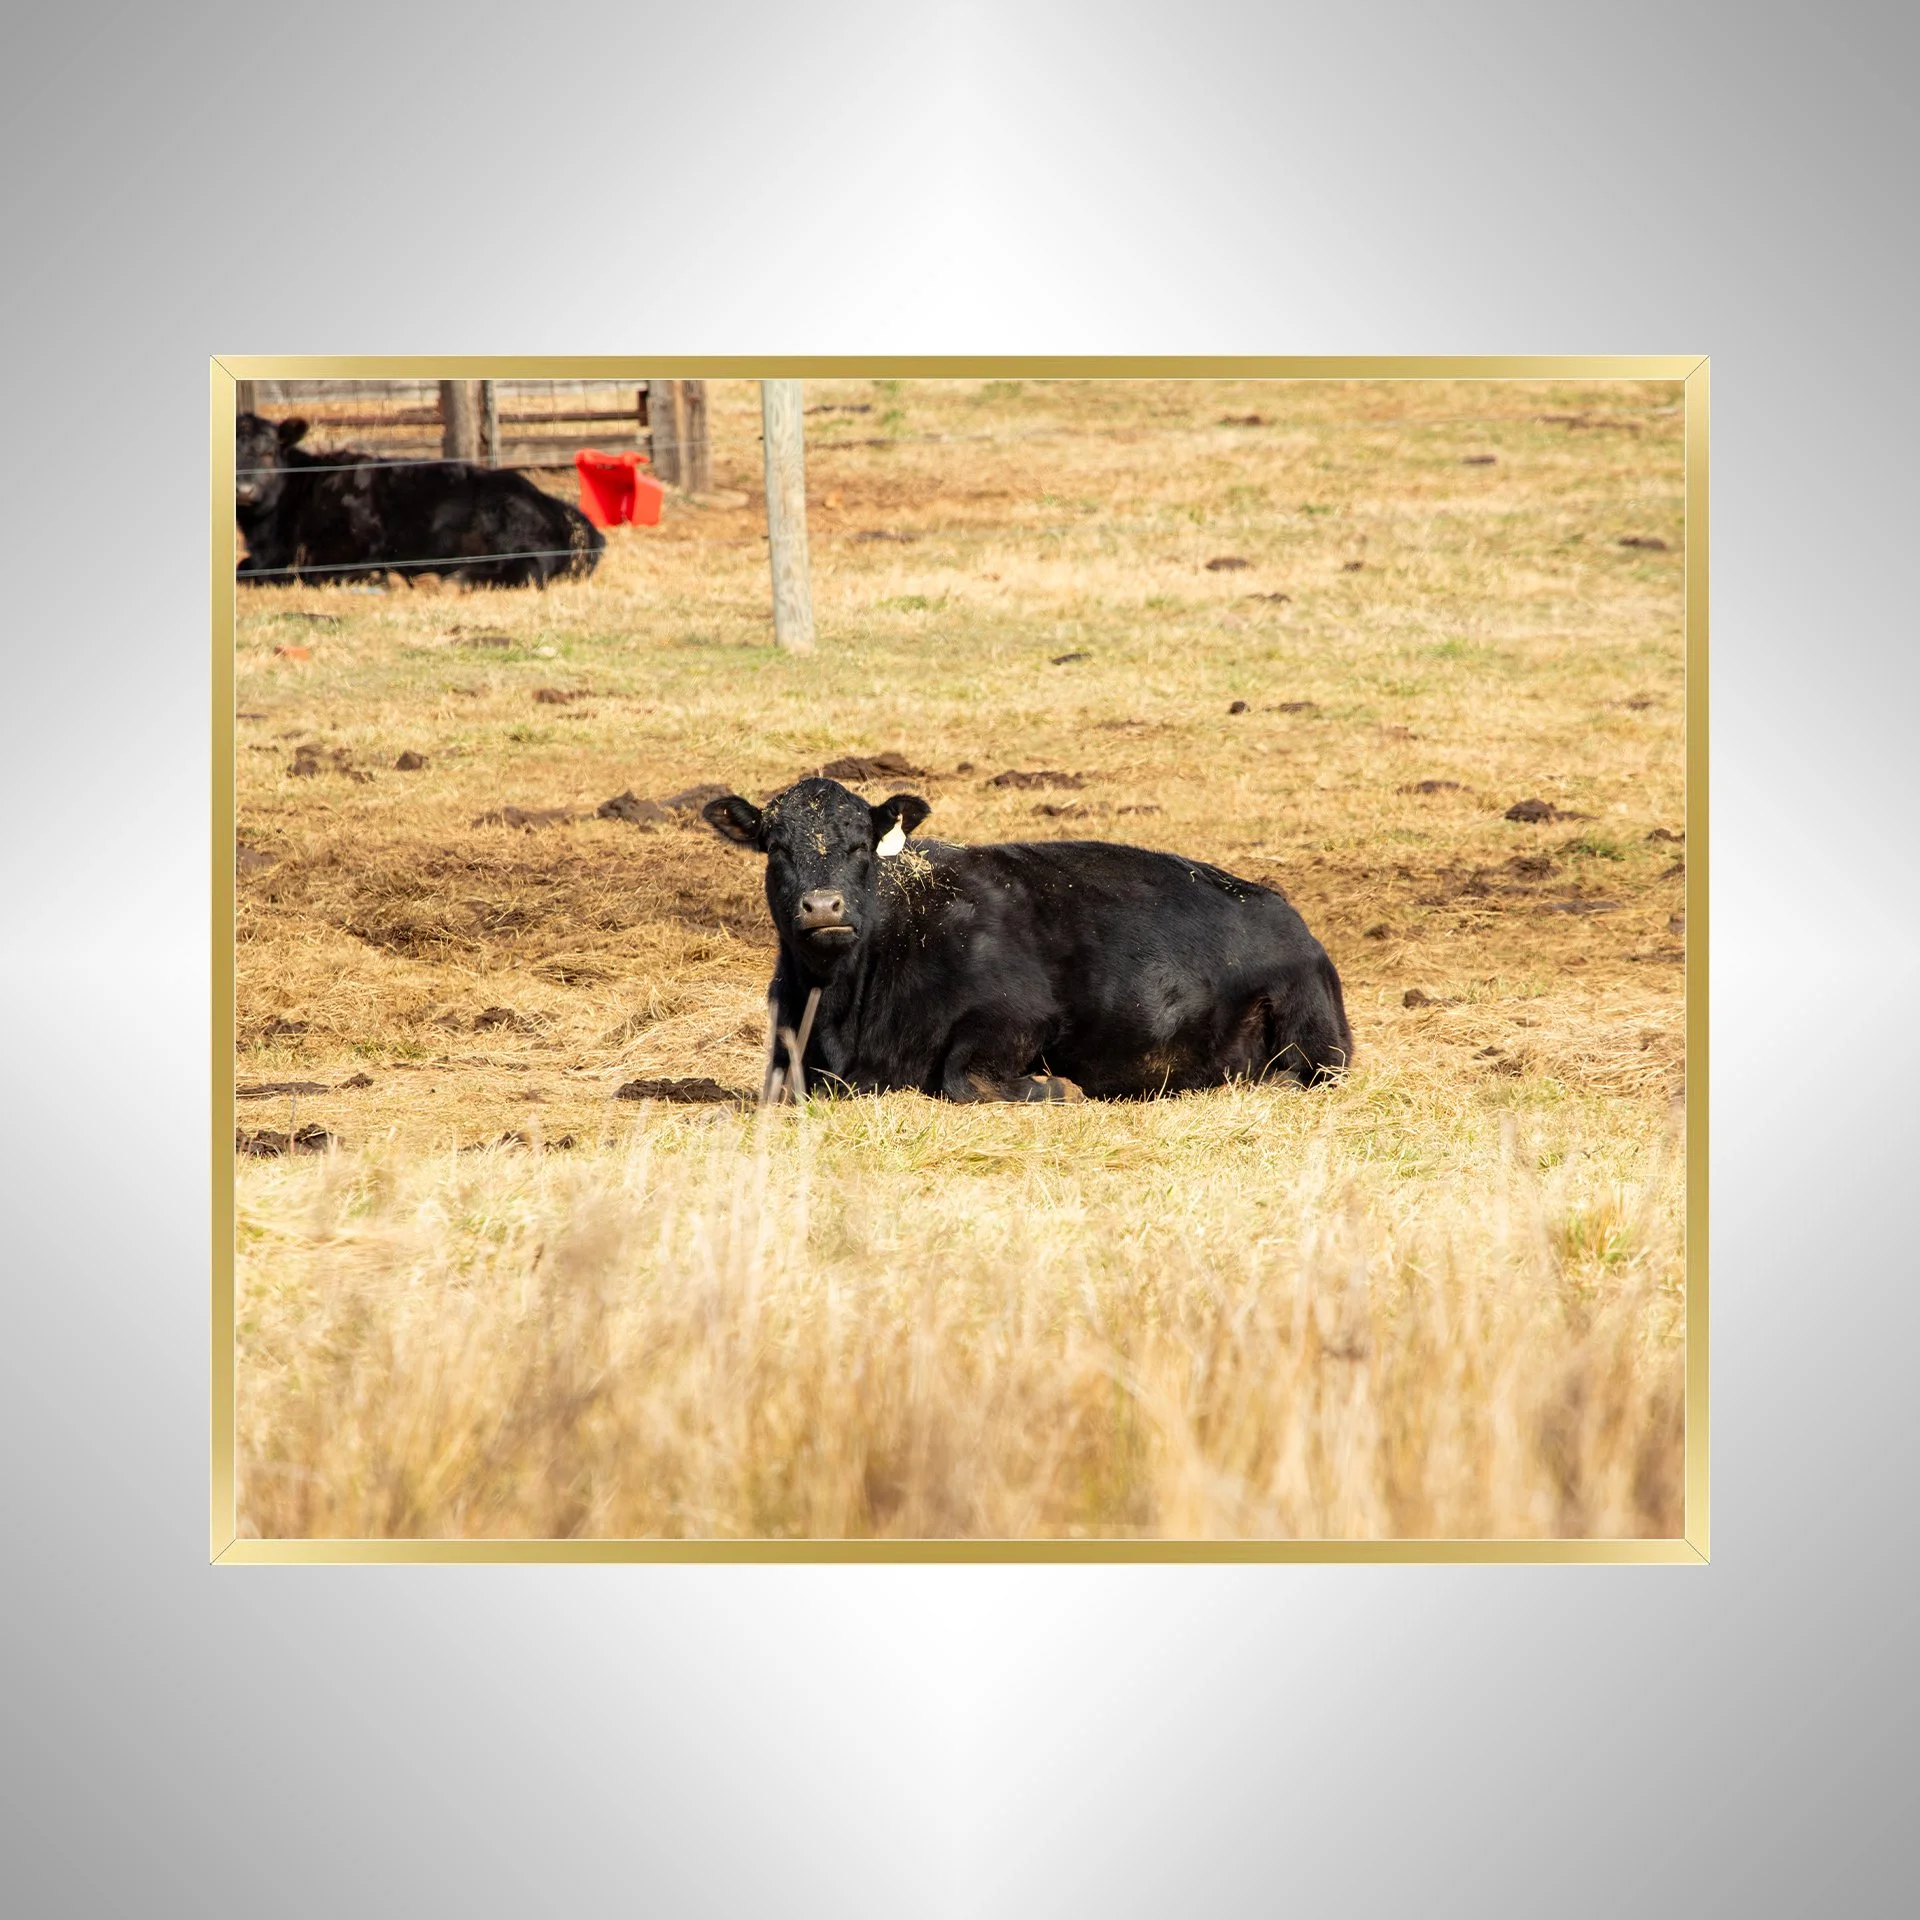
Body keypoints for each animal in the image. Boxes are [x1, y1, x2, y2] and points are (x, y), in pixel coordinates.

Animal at [235, 413, 604, 587]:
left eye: (268, 452)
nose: (245, 490)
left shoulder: (353, 544)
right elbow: (245, 568)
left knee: (527, 569)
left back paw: (452, 581)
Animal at [703, 776, 1352, 1103]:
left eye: (861, 844)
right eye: (775, 847)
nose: (822, 906)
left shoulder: (1018, 1016)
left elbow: (962, 1078)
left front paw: (1057, 1085)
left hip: (1316, 1036)